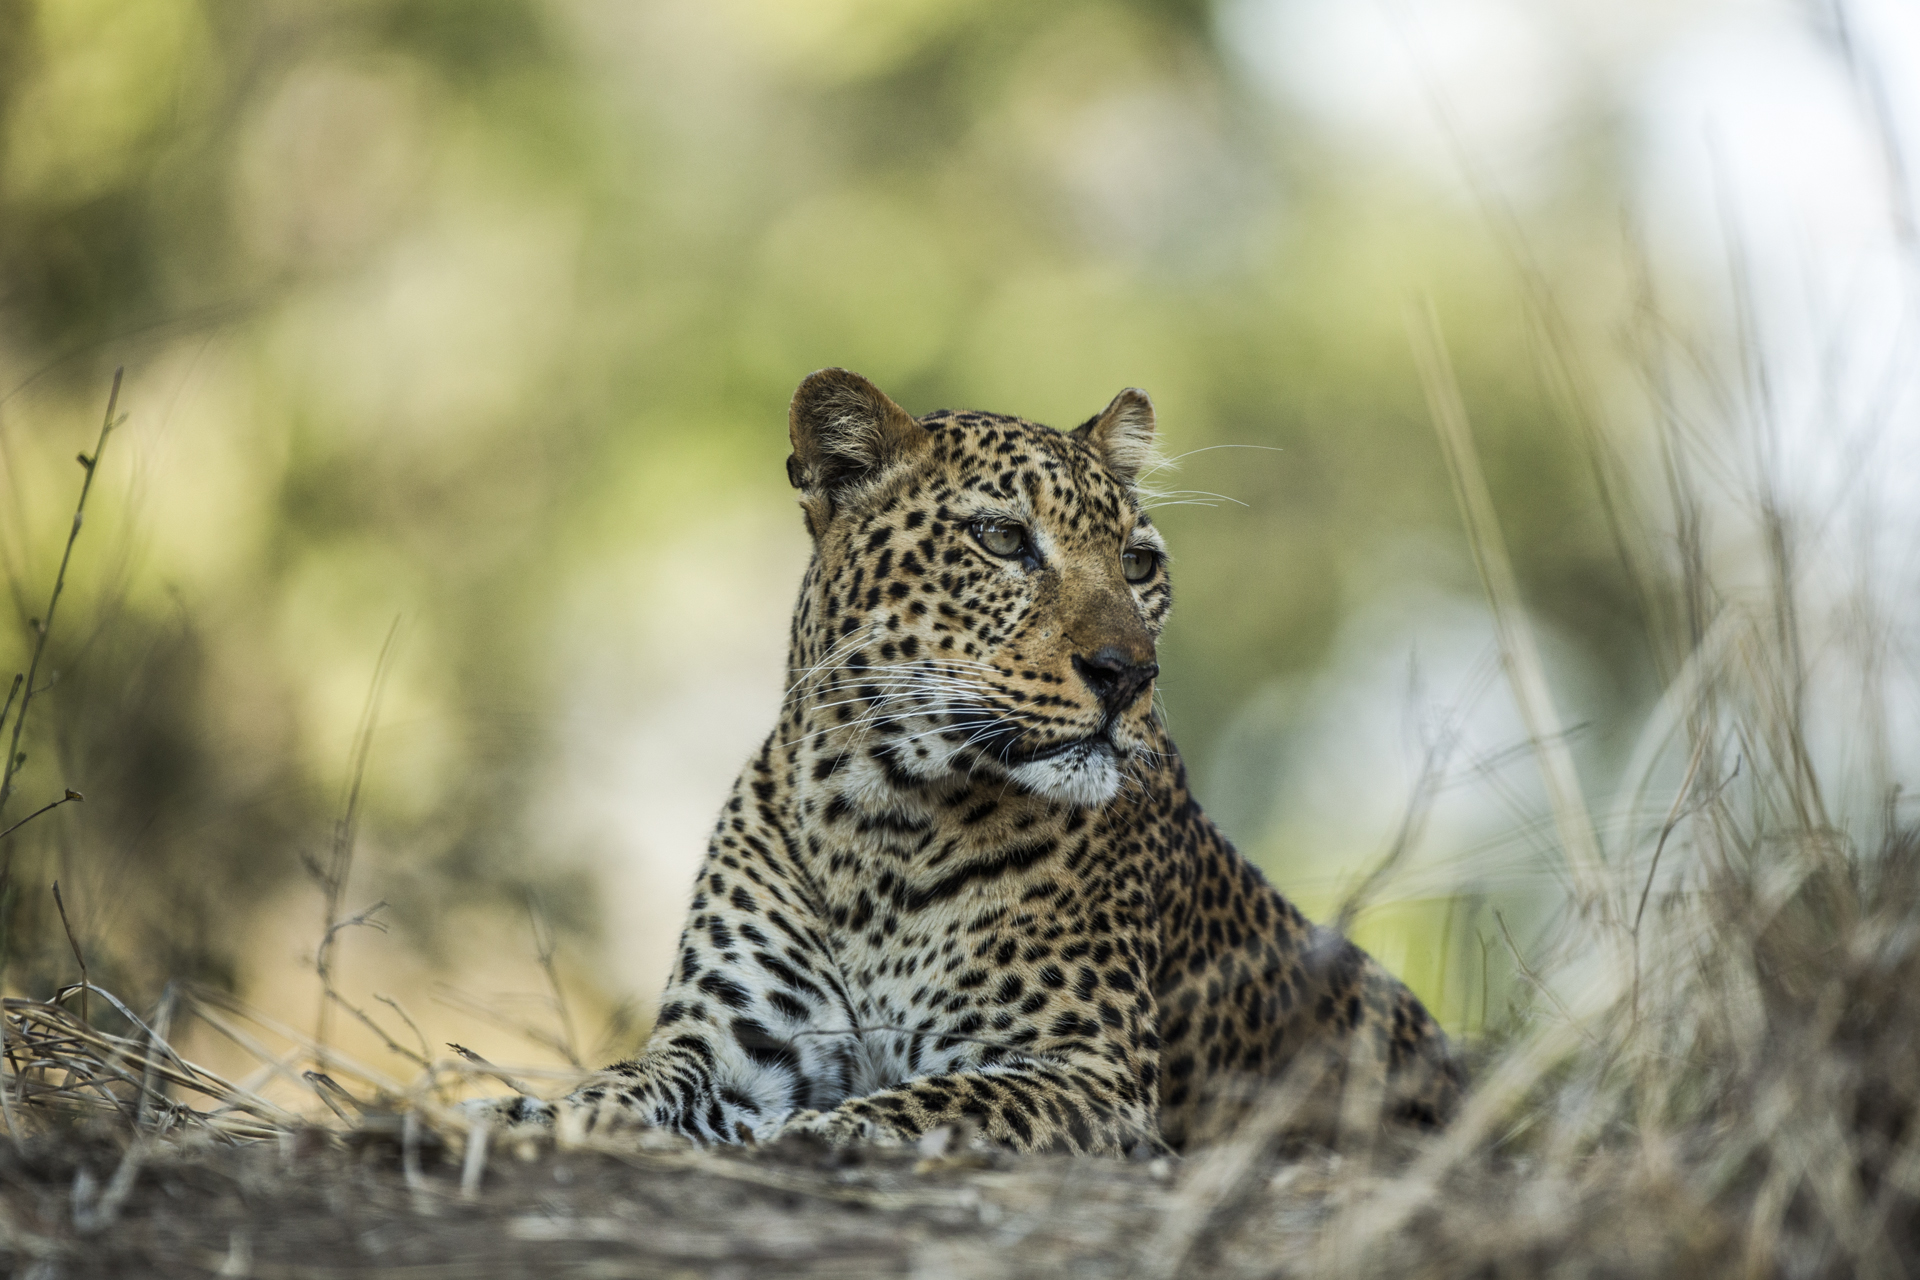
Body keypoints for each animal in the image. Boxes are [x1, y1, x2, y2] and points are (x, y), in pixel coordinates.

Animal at [503, 364, 1459, 1159]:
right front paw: (535, 1110)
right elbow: (630, 1082)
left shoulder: (1089, 1074)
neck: (880, 821)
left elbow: (933, 1102)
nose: (1128, 672)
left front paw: (809, 1133)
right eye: (1002, 540)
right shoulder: (734, 1043)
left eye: (1139, 564)